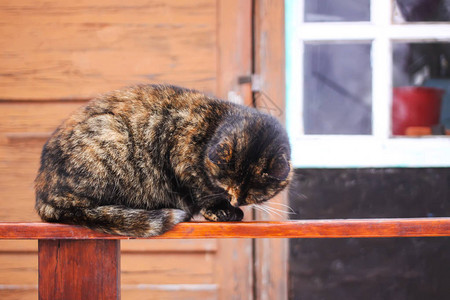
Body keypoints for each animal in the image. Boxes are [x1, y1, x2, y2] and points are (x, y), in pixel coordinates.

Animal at [34, 84, 292, 237]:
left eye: (253, 194)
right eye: (227, 185)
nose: (236, 201)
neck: (211, 127)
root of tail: (42, 195)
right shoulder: (182, 156)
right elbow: (202, 190)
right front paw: (220, 210)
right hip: (111, 134)